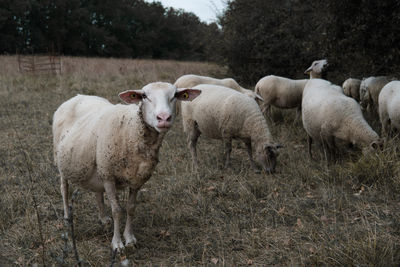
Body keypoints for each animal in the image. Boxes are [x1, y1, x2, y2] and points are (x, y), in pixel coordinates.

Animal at [52, 82, 202, 252]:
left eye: (175, 96)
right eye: (144, 96)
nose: (164, 118)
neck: (131, 129)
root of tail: (78, 96)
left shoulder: (137, 179)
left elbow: (131, 208)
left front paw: (130, 239)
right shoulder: (109, 177)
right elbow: (117, 211)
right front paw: (117, 244)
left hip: (99, 165)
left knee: (98, 193)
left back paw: (103, 219)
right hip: (63, 162)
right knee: (64, 190)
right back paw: (66, 218)